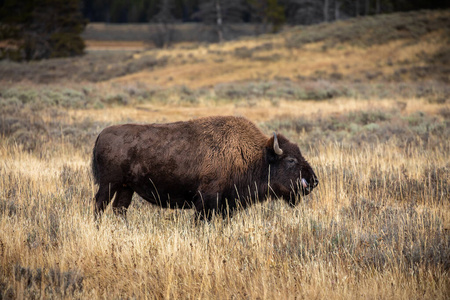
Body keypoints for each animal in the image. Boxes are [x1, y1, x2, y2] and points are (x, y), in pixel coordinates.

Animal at [91, 116, 318, 219]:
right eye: (291, 160)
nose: (314, 181)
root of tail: (101, 134)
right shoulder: (206, 202)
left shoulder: (226, 205)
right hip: (109, 184)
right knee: (99, 205)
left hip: (126, 188)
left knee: (119, 209)